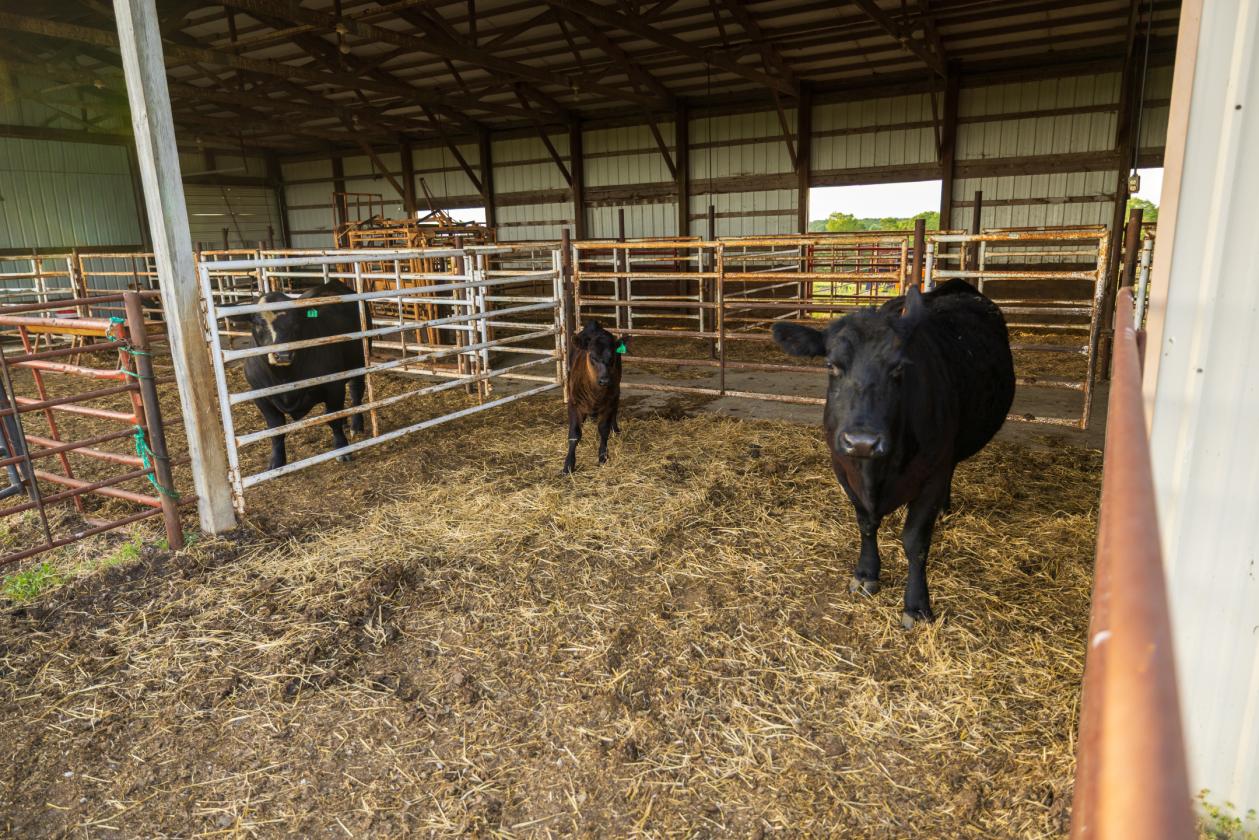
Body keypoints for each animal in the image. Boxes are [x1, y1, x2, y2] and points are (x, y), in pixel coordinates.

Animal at [243, 280, 371, 471]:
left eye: (296, 322)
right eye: (258, 323)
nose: (282, 355)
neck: (285, 376)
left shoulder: (333, 387)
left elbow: (333, 418)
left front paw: (342, 449)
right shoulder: (260, 396)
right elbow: (275, 429)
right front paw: (276, 461)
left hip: (359, 362)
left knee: (356, 392)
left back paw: (356, 425)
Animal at [563, 320, 627, 475]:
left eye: (612, 357)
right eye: (592, 356)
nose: (605, 380)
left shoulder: (609, 401)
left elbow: (604, 429)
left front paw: (603, 456)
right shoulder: (573, 402)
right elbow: (574, 433)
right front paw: (569, 464)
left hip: (617, 389)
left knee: (615, 410)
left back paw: (615, 429)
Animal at [771, 279, 1015, 628]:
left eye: (899, 367)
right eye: (831, 365)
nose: (862, 441)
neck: (875, 474)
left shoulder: (932, 474)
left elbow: (915, 541)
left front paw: (916, 604)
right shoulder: (842, 467)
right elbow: (865, 524)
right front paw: (866, 573)